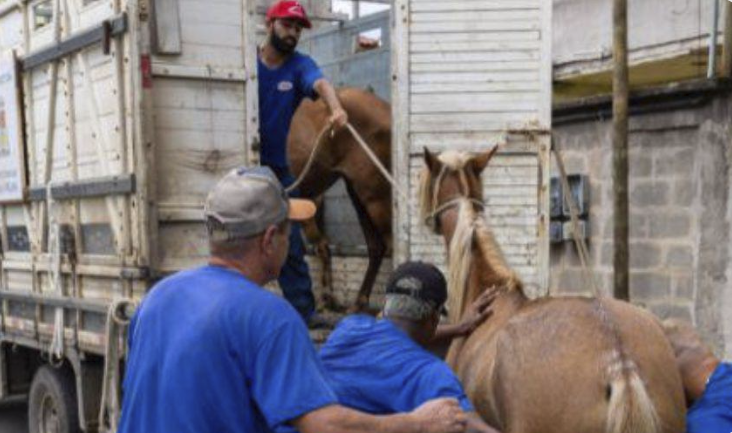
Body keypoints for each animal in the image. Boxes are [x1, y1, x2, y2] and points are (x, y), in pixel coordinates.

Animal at [287, 88, 392, 312]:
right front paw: (327, 296)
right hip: (358, 193)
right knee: (376, 246)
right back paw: (358, 302)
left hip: (375, 193)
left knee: (390, 241)